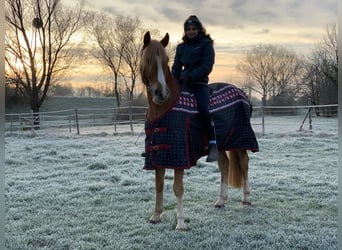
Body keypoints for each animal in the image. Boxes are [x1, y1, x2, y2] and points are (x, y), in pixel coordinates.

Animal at [138, 32, 256, 231]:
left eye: (166, 60)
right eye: (147, 60)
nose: (161, 93)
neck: (163, 108)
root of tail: (242, 94)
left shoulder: (179, 157)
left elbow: (177, 188)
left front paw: (180, 223)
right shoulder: (158, 155)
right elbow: (159, 185)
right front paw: (156, 216)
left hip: (240, 141)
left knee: (244, 164)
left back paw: (246, 199)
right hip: (221, 145)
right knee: (224, 165)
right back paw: (221, 201)